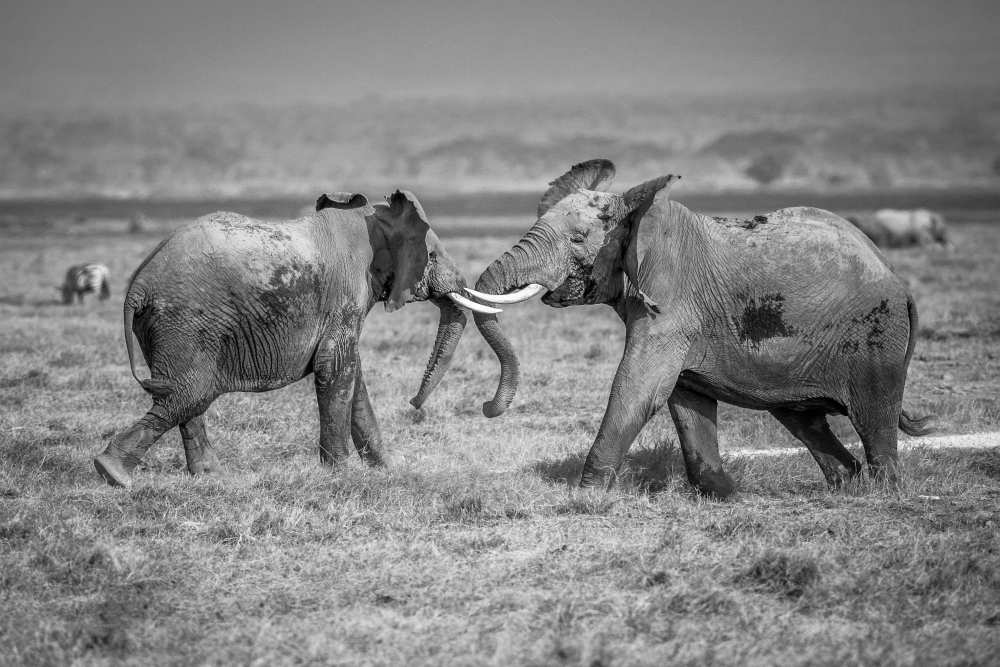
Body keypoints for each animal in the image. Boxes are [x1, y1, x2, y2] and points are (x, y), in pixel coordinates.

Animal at [94, 190, 500, 488]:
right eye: (432, 255)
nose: (414, 403)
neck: (370, 218)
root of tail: (138, 284)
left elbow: (352, 376)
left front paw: (387, 468)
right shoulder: (345, 292)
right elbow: (336, 367)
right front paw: (341, 474)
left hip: (165, 326)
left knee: (185, 396)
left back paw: (212, 478)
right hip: (183, 321)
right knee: (189, 393)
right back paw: (112, 473)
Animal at [464, 160, 932, 496]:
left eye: (578, 239)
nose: (488, 407)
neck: (639, 212)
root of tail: (897, 280)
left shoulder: (671, 301)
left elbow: (637, 387)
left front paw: (586, 497)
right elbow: (684, 397)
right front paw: (724, 495)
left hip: (876, 337)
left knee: (873, 418)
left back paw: (881, 492)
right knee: (804, 420)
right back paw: (846, 484)